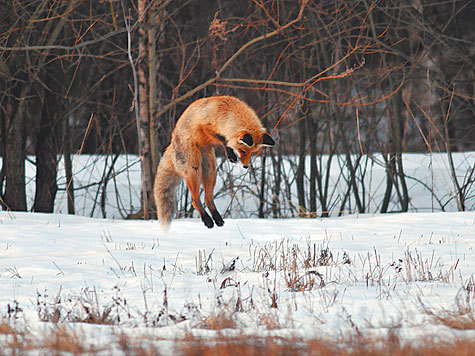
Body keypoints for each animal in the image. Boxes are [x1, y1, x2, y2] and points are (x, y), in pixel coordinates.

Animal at [154, 96, 276, 229]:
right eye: (243, 151)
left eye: (252, 153)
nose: (246, 166)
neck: (226, 112)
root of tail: (171, 143)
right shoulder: (205, 128)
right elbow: (224, 139)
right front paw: (230, 153)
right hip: (194, 170)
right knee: (195, 200)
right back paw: (207, 219)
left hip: (210, 171)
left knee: (208, 199)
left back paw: (217, 218)